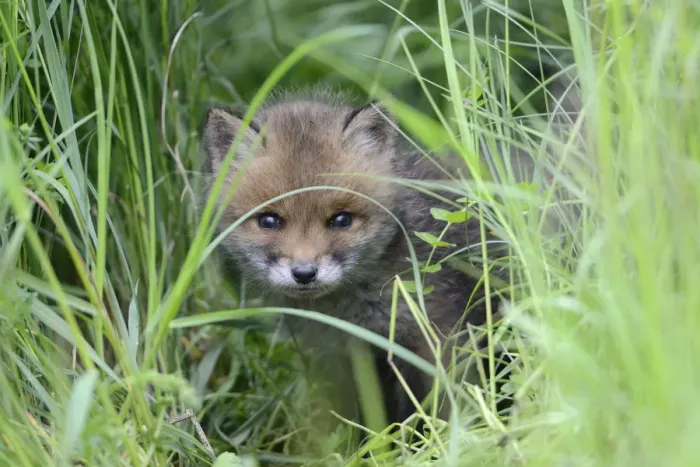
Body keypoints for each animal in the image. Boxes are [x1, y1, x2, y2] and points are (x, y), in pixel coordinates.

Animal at [198, 77, 581, 425]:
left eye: (341, 219)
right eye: (269, 220)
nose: (304, 273)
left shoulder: (441, 339)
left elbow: (441, 413)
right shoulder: (345, 360)